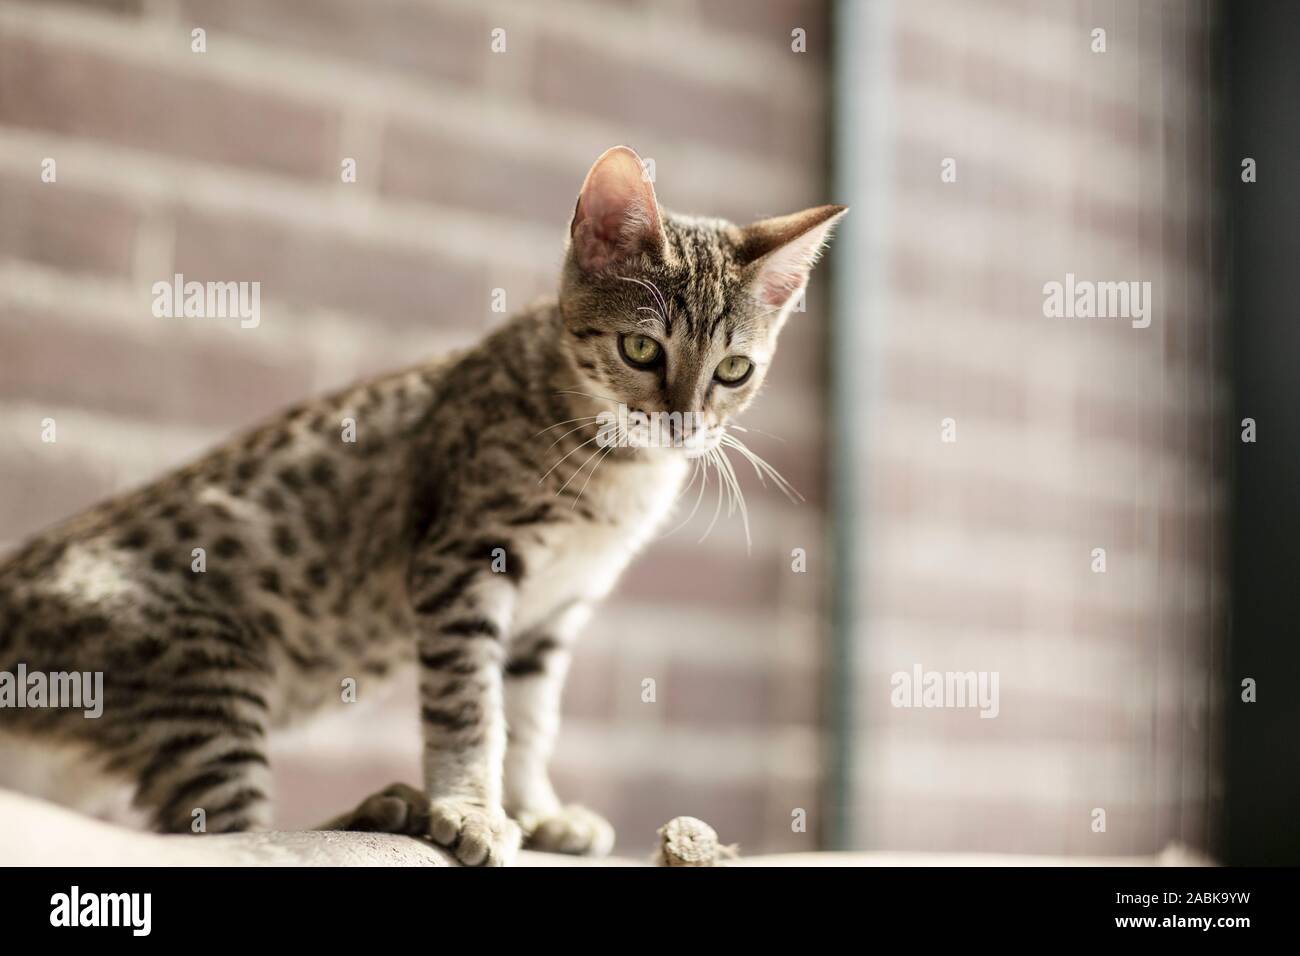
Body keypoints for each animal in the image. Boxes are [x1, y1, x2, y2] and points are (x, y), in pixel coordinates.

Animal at [0, 143, 842, 868]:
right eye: (641, 349)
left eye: (734, 371)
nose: (682, 422)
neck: (615, 475)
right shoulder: (464, 560)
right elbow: (471, 704)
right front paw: (470, 807)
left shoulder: (552, 614)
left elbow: (529, 718)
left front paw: (535, 809)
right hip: (207, 665)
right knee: (222, 833)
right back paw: (381, 809)